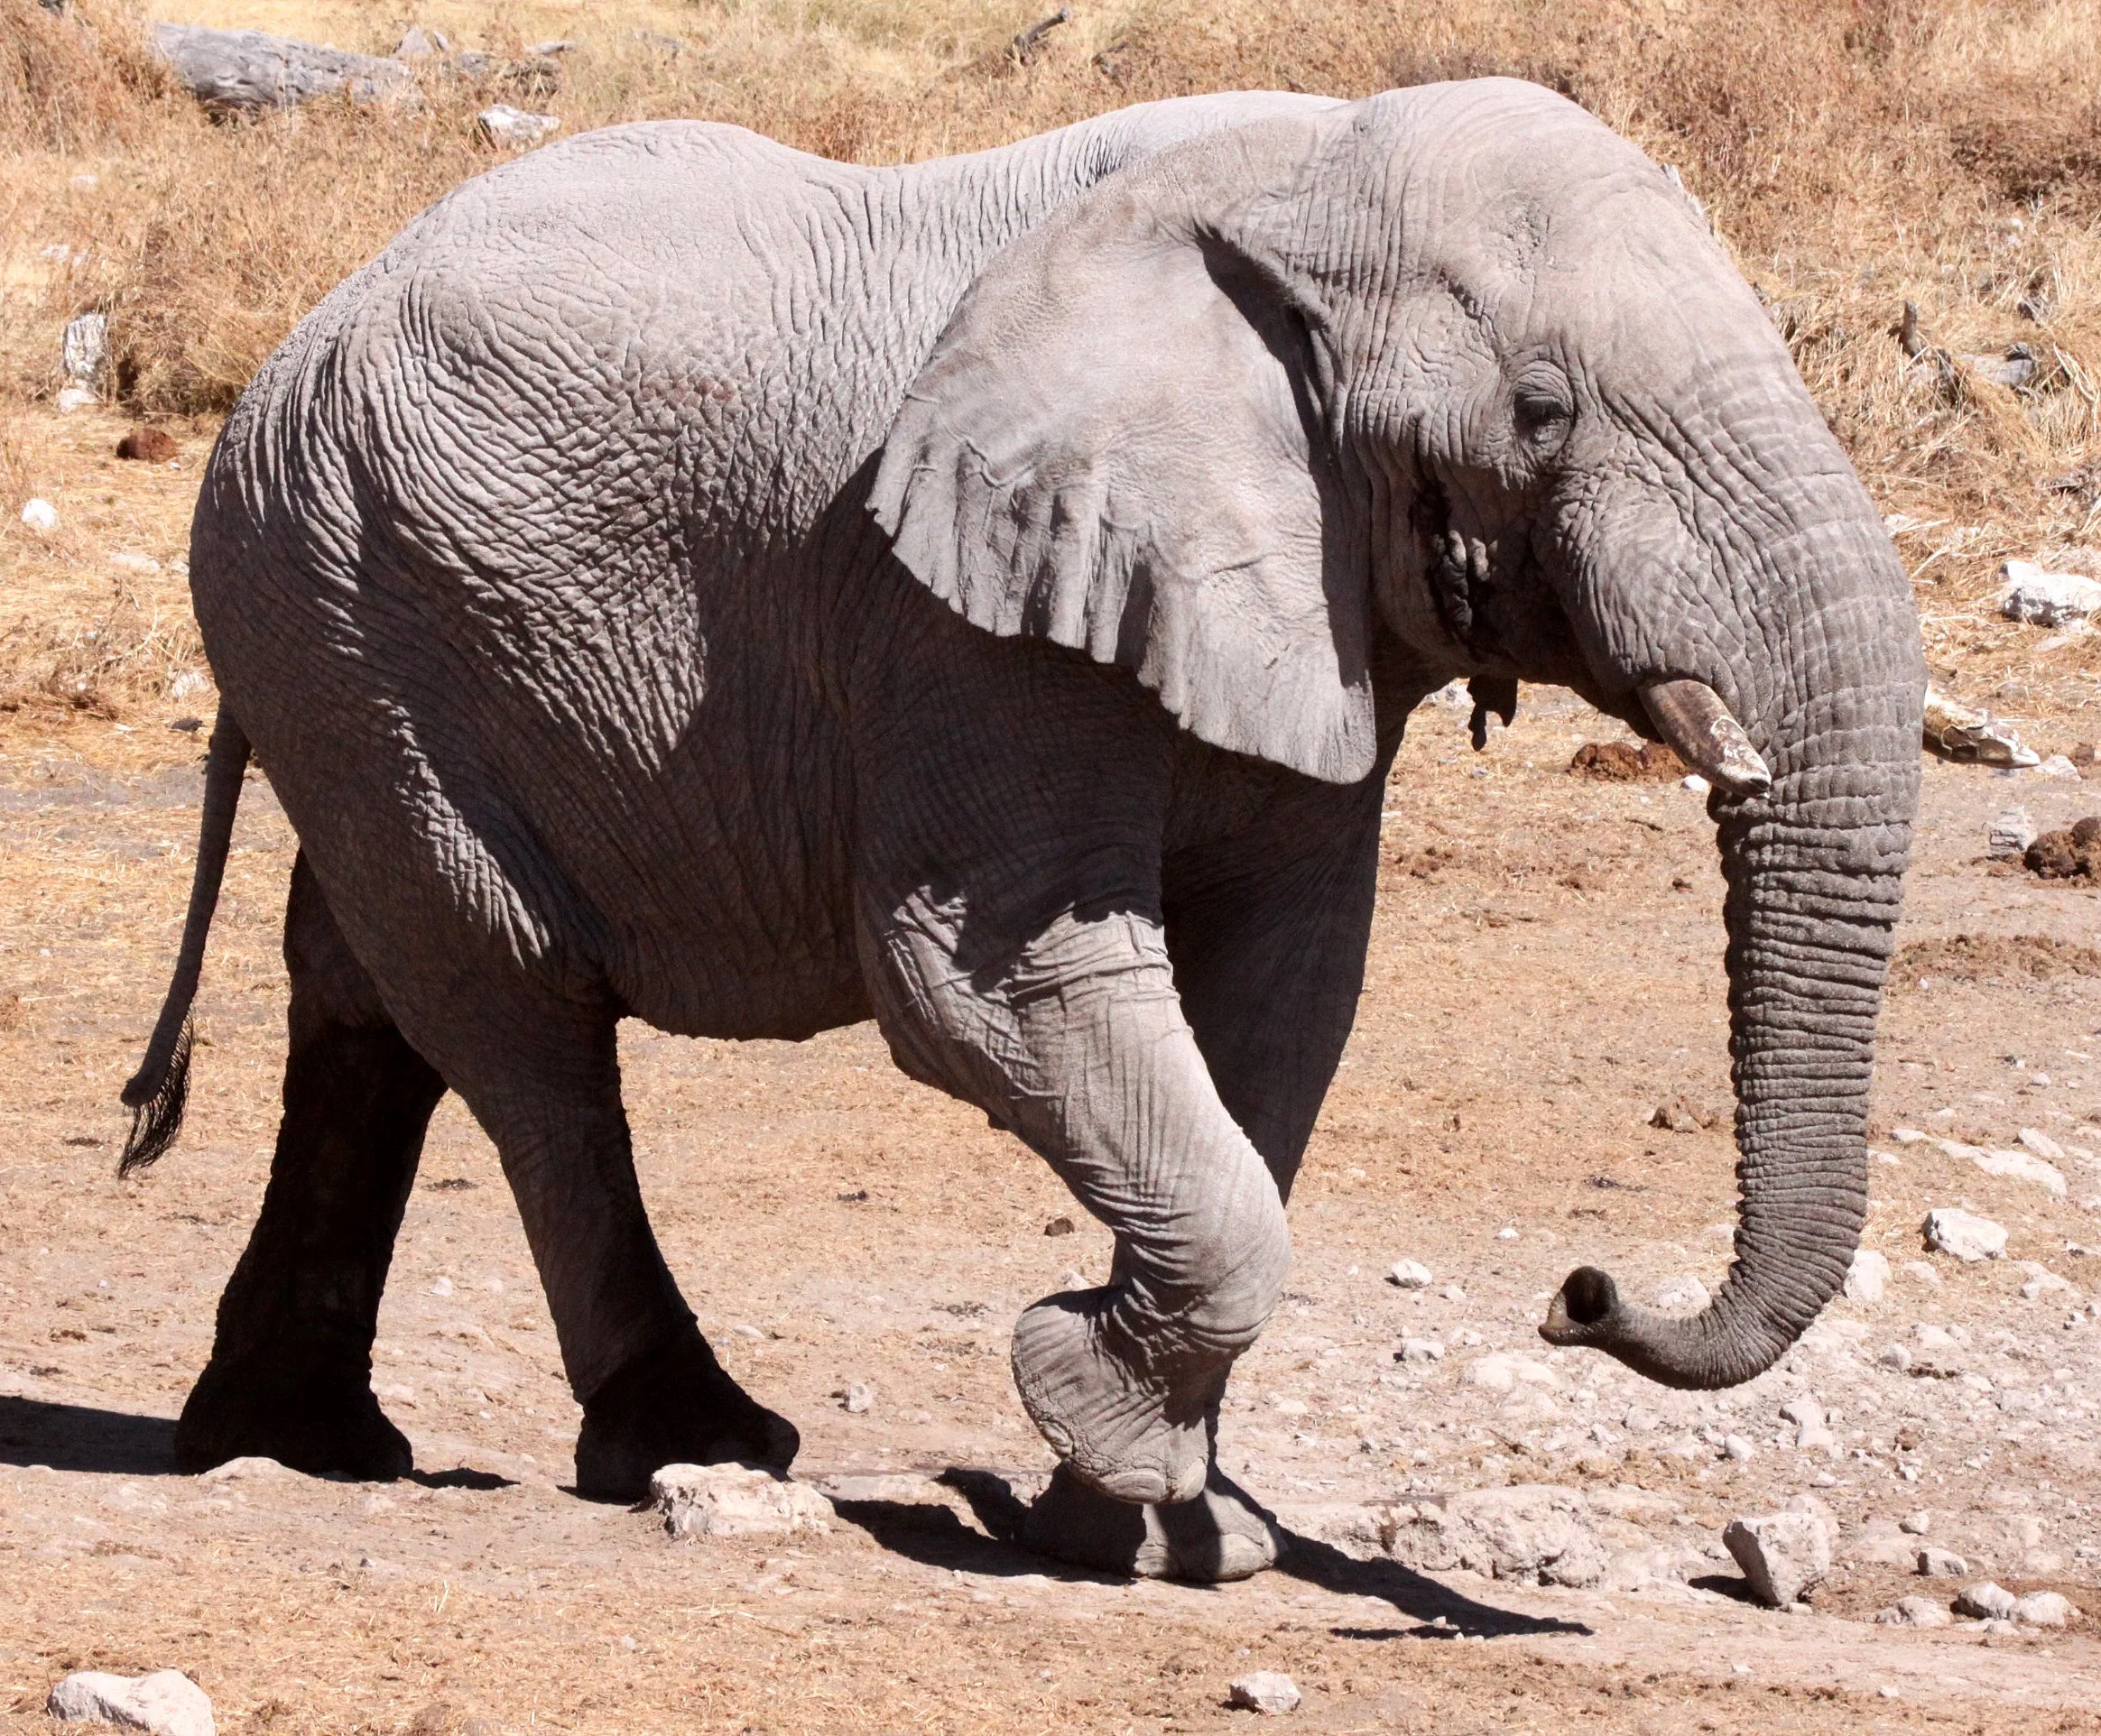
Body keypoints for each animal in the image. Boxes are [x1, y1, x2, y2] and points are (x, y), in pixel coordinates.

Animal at [120, 76, 1923, 1583]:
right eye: (1542, 409)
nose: (1578, 1292)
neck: (1300, 176)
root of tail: (292, 343)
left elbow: (1286, 998)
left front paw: (1154, 1526)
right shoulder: (956, 618)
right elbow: (986, 981)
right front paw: (1085, 1417)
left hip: (344, 637)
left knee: (370, 992)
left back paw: (292, 1440)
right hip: (337, 607)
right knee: (514, 1015)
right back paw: (696, 1439)